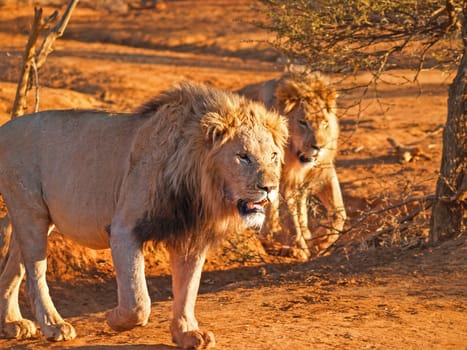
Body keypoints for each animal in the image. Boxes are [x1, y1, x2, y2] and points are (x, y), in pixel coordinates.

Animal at [0, 81, 288, 348]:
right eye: (243, 156)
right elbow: (138, 301)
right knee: (35, 274)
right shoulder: (124, 229)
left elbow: (187, 289)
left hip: (34, 218)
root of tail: (5, 127)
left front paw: (187, 333)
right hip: (30, 211)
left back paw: (11, 323)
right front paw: (113, 318)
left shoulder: (190, 235)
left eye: (274, 155)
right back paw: (54, 326)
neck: (199, 185)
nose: (270, 187)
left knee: (14, 267)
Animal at [241, 71, 348, 260]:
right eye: (302, 122)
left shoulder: (323, 171)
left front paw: (321, 241)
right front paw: (299, 248)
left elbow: (339, 212)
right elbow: (291, 219)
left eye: (325, 123)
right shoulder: (284, 180)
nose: (318, 147)